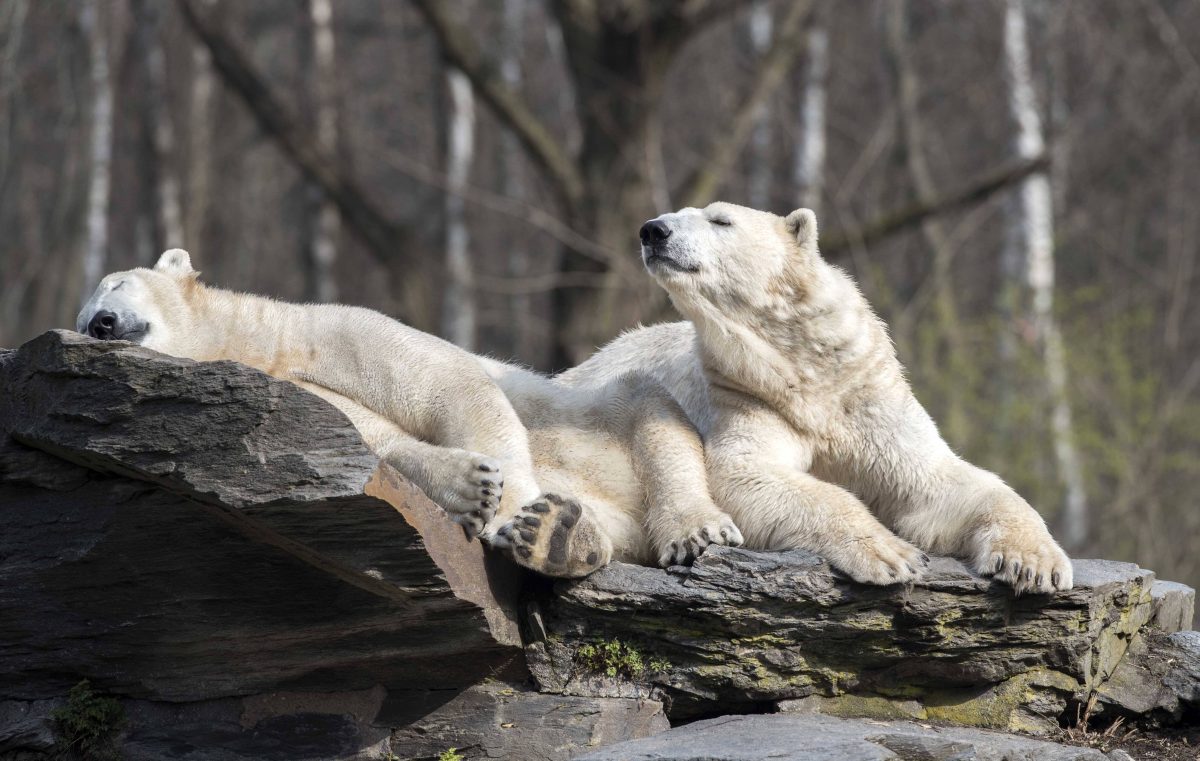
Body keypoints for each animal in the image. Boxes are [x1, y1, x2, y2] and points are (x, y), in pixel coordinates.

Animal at [75, 248, 739, 573]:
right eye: (80, 320)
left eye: (114, 286)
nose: (99, 323)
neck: (259, 346)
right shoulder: (301, 394)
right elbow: (373, 444)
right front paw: (475, 490)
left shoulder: (326, 330)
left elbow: (450, 384)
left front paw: (513, 516)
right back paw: (562, 537)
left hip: (602, 413)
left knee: (645, 411)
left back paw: (690, 529)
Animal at [559, 201, 1070, 592]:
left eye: (721, 220)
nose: (653, 230)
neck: (806, 374)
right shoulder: (747, 395)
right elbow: (745, 474)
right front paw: (893, 554)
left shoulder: (868, 398)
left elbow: (940, 481)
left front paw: (1034, 563)